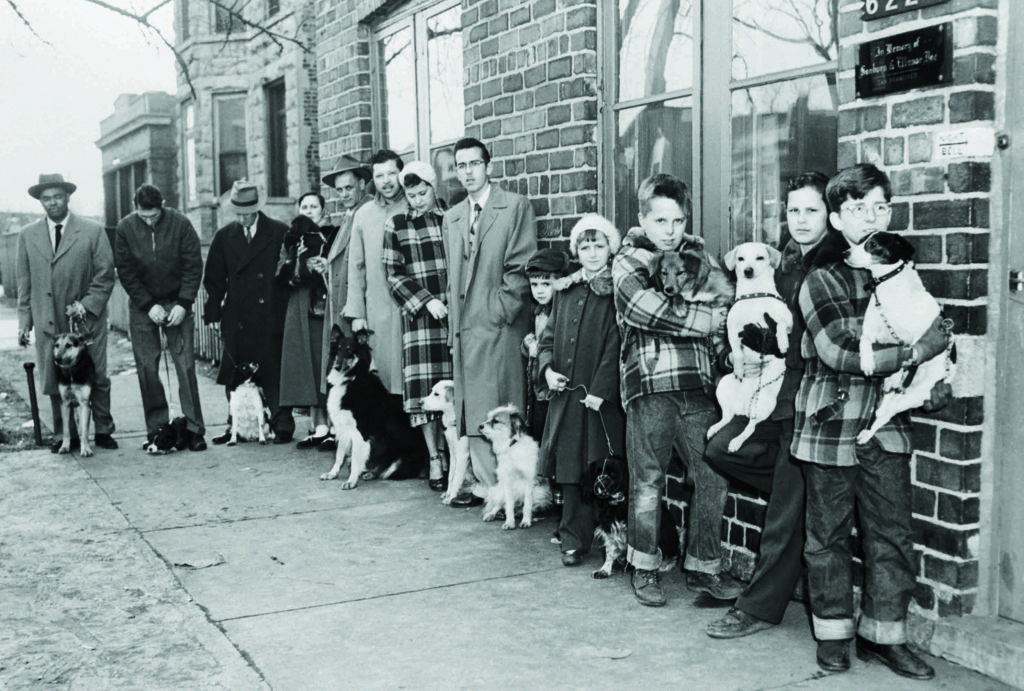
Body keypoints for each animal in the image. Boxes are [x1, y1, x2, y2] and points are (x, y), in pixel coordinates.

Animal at [708, 243, 794, 454]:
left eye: (760, 257)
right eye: (741, 259)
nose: (748, 270)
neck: (755, 295)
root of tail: (743, 408)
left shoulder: (787, 320)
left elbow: (780, 325)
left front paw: (782, 343)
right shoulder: (732, 330)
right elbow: (737, 352)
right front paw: (739, 368)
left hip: (765, 403)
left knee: (751, 427)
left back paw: (736, 442)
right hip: (723, 387)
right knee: (727, 417)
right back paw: (715, 428)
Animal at [843, 229, 954, 440]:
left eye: (873, 244)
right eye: (860, 241)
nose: (845, 253)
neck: (889, 291)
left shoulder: (915, 340)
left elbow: (909, 355)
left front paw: (895, 374)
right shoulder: (870, 333)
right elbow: (864, 343)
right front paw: (867, 363)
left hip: (915, 395)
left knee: (887, 413)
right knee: (884, 408)